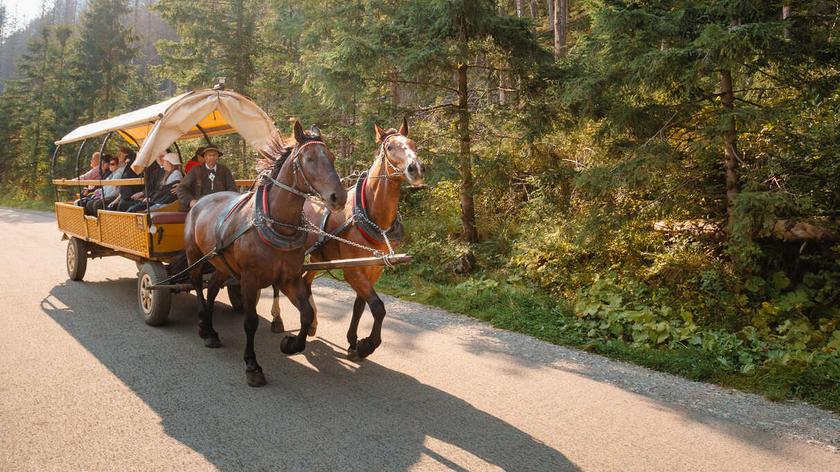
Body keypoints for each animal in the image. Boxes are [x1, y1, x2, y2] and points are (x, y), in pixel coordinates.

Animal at [185, 121, 346, 388]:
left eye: (332, 157)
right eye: (310, 158)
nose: (339, 197)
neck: (277, 223)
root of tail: (200, 201)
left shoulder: (289, 279)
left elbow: (306, 314)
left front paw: (291, 344)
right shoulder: (250, 279)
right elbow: (250, 322)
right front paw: (252, 365)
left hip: (222, 264)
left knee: (213, 288)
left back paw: (211, 329)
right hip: (195, 256)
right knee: (198, 285)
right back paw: (202, 325)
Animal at [270, 120, 424, 360]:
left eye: (413, 143)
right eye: (390, 147)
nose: (415, 168)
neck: (371, 214)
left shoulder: (373, 268)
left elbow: (360, 306)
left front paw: (353, 341)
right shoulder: (353, 271)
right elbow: (378, 307)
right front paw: (367, 344)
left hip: (317, 258)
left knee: (305, 282)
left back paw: (312, 322)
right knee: (279, 284)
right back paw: (278, 319)